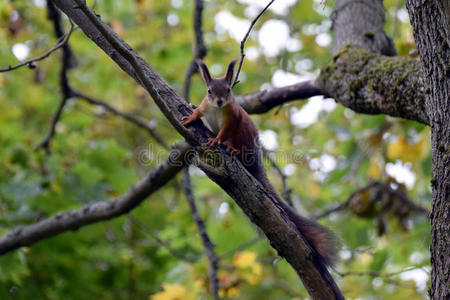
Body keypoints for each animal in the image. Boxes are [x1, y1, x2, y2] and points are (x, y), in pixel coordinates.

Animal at [181, 59, 336, 266]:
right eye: (209, 91)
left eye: (228, 90)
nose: (220, 101)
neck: (217, 109)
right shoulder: (206, 106)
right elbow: (198, 110)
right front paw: (190, 116)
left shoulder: (233, 117)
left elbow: (225, 131)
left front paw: (216, 140)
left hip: (243, 132)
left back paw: (232, 149)